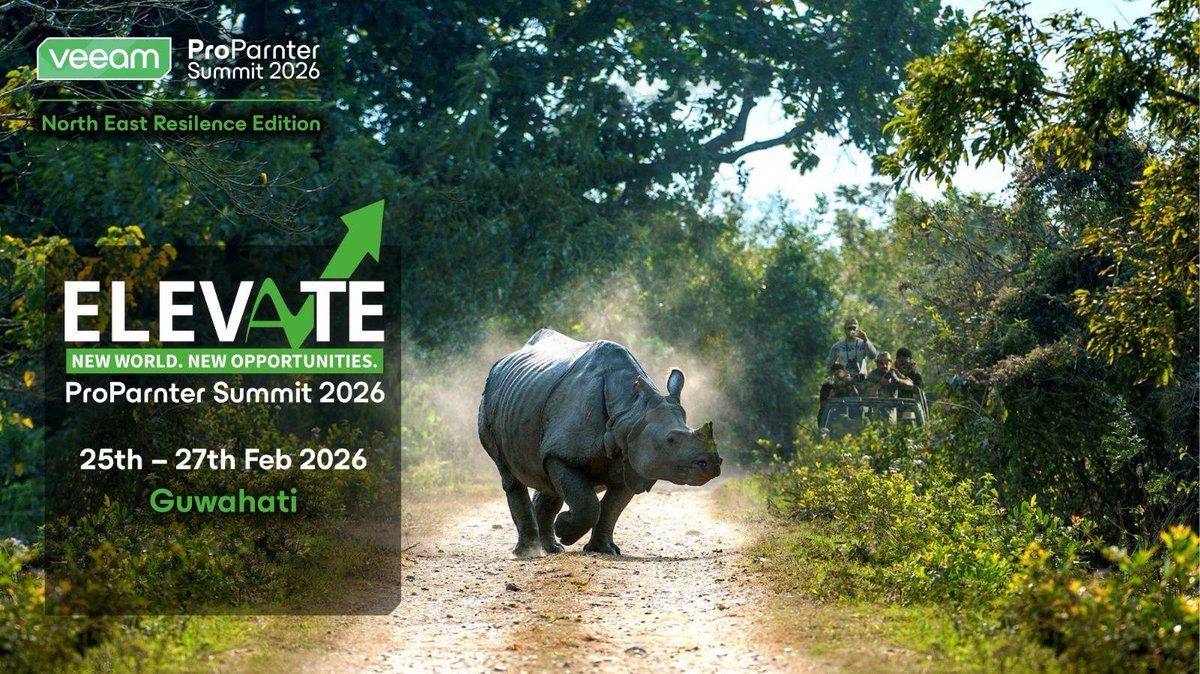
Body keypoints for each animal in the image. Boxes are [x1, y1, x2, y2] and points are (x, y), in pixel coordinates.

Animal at [478, 328, 722, 558]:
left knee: (546, 477)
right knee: (510, 474)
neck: (628, 413)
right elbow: (589, 506)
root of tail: (501, 362)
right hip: (489, 399)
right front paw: (564, 528)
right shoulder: (564, 453)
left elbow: (611, 508)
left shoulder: (631, 459)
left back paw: (553, 548)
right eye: (671, 440)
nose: (712, 464)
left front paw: (602, 549)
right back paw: (527, 552)